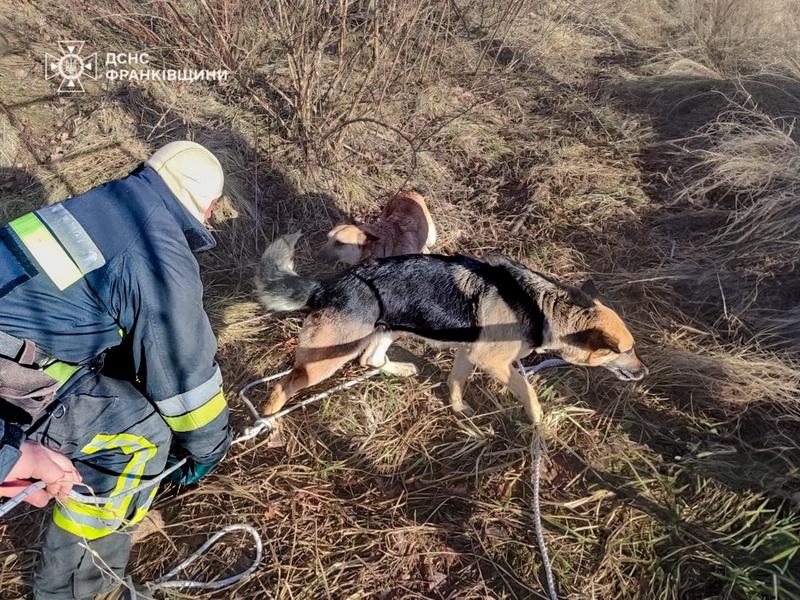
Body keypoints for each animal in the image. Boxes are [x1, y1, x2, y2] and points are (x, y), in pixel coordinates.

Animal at [260, 232, 648, 424]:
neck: (545, 305)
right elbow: (528, 391)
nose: (643, 372)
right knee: (283, 386)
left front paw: (460, 412)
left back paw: (400, 368)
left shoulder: (469, 352)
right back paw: (270, 423)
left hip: (388, 330)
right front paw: (539, 424)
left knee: (370, 360)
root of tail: (328, 286)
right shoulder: (494, 362)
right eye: (625, 350)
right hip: (327, 358)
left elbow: (456, 381)